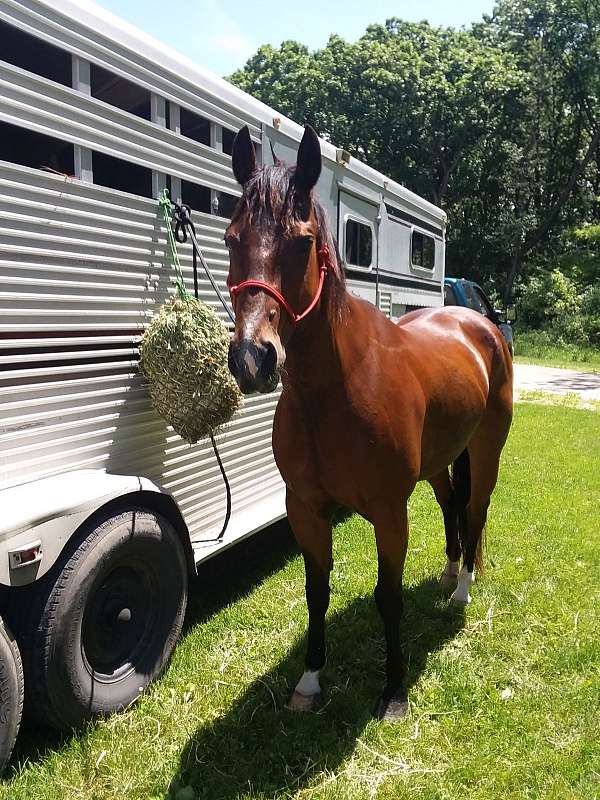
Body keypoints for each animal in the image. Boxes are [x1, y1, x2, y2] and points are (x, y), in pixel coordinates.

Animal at [223, 123, 512, 720]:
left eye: (303, 241)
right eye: (232, 238)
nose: (252, 359)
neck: (335, 393)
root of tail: (480, 322)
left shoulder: (388, 512)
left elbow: (389, 596)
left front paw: (394, 690)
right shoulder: (305, 509)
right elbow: (316, 593)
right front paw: (310, 680)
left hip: (485, 452)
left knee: (474, 510)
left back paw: (462, 589)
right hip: (440, 462)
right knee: (452, 506)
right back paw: (448, 572)